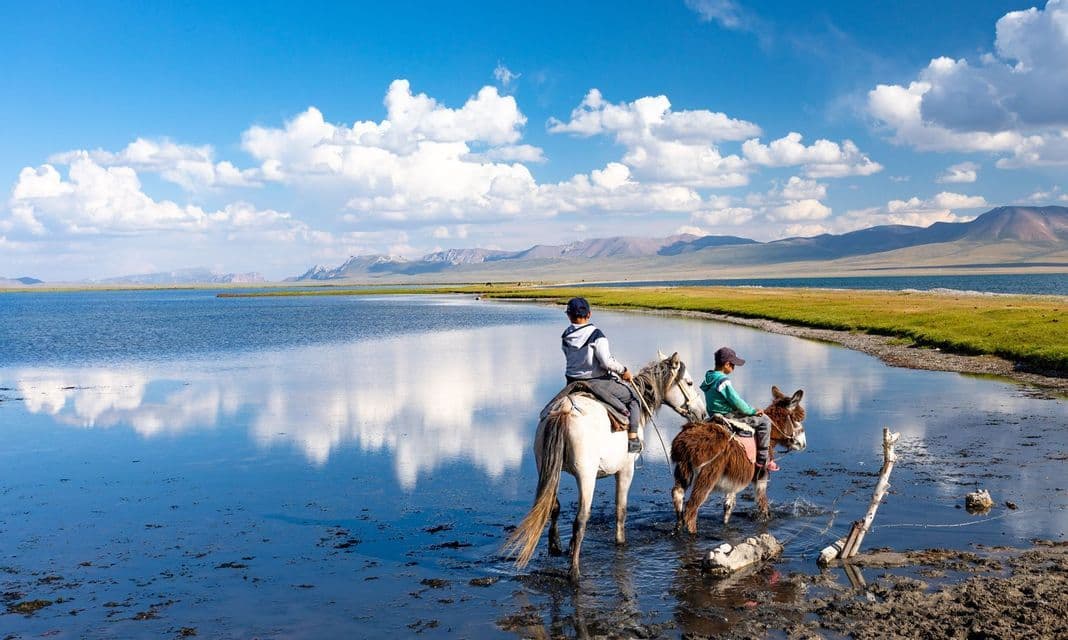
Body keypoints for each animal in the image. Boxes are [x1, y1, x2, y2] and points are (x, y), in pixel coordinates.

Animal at [503, 352, 707, 582]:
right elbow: (621, 509)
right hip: (586, 476)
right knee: (580, 519)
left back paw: (556, 547)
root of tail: (564, 410)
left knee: (553, 507)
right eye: (689, 382)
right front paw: (620, 542)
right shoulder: (626, 469)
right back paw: (574, 571)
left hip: (547, 469)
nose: (702, 413)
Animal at [670, 386, 806, 535]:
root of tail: (685, 442)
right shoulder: (761, 476)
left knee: (678, 496)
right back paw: (693, 533)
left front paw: (725, 526)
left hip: (683, 470)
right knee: (691, 509)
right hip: (707, 476)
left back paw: (677, 529)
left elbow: (729, 506)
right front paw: (765, 521)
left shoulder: (735, 478)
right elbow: (763, 504)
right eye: (796, 419)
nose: (803, 444)